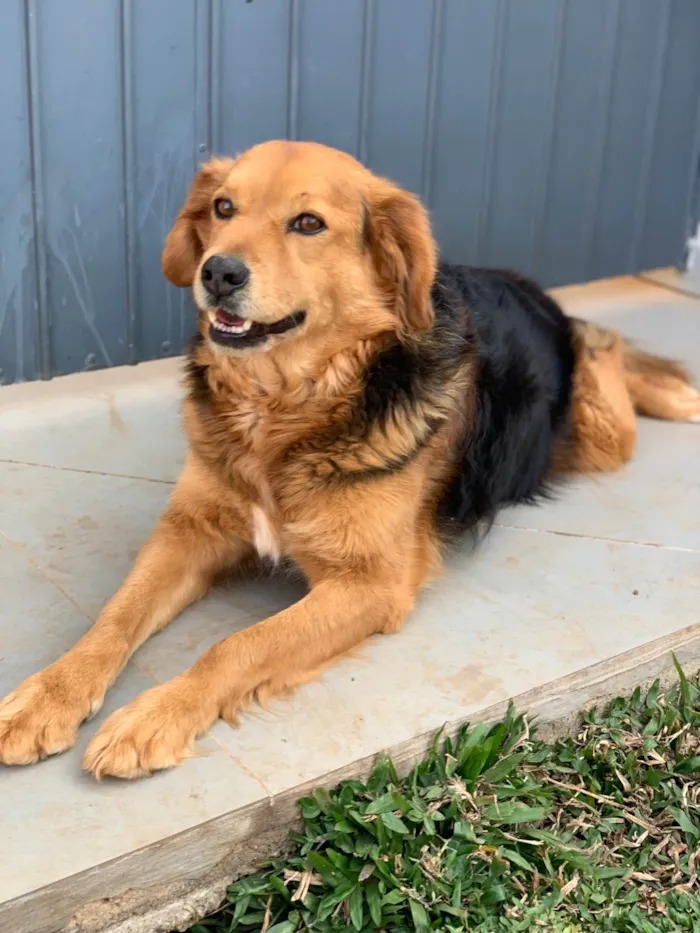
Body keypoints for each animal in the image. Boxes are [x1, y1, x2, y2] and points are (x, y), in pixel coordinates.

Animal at [1, 140, 700, 780]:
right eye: (224, 207)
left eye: (308, 223)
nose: (217, 272)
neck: (282, 405)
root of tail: (527, 284)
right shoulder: (190, 530)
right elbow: (114, 616)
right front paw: (49, 694)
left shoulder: (370, 583)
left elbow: (236, 646)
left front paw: (155, 715)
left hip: (600, 433)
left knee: (606, 351)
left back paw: (666, 386)